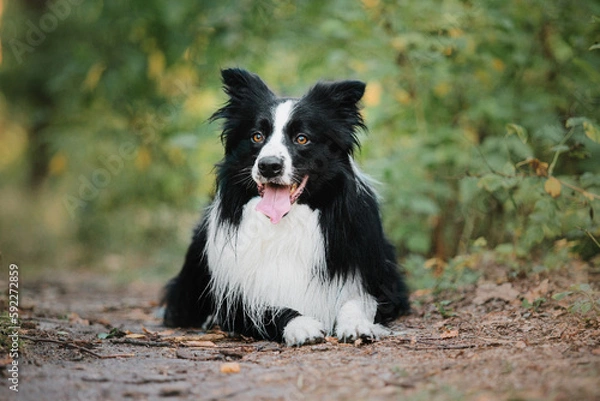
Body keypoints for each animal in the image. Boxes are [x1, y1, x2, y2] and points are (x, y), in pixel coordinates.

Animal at [162, 68, 410, 344]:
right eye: (257, 136)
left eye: (302, 139)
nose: (269, 166)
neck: (287, 222)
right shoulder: (238, 297)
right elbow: (270, 310)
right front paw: (301, 325)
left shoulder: (383, 286)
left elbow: (357, 300)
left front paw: (356, 324)